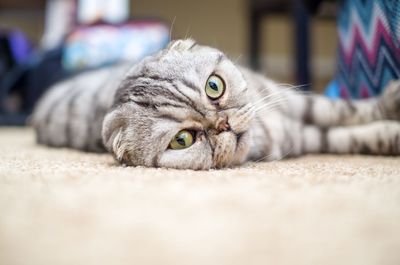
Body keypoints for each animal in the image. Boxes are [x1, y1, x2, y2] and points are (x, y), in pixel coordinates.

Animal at [32, 39, 400, 169]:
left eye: (214, 86)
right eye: (182, 140)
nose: (224, 125)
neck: (271, 130)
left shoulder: (295, 103)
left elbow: (345, 110)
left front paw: (390, 102)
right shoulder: (305, 137)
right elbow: (353, 137)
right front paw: (392, 135)